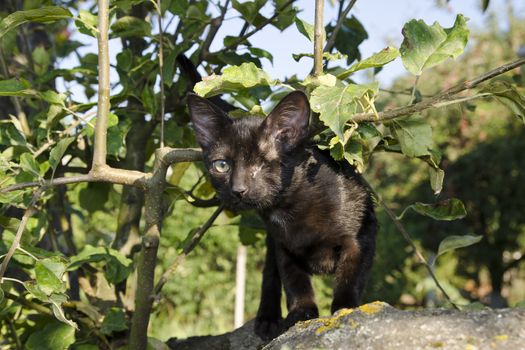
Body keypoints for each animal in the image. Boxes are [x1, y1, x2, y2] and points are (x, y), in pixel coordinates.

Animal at [188, 91, 376, 340]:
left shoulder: (360, 238)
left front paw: (345, 309)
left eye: (262, 164)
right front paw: (301, 313)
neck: (287, 208)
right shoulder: (282, 246)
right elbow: (294, 282)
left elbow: (351, 275)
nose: (238, 190)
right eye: (221, 165)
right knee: (269, 275)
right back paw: (267, 319)